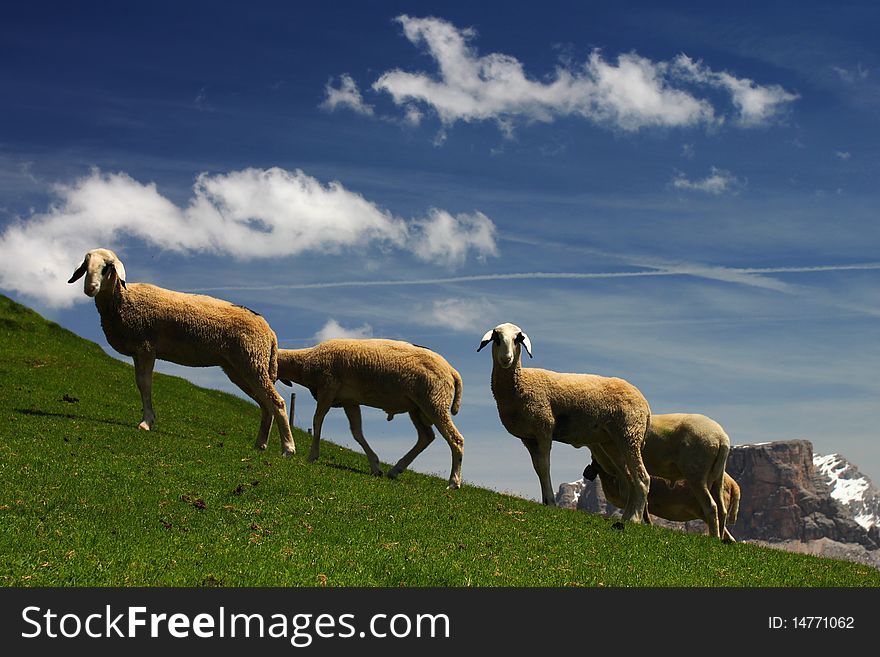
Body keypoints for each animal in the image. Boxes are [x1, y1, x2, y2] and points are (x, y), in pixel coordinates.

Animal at [65, 243, 298, 454]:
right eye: (86, 265)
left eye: (107, 267)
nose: (89, 289)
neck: (122, 299)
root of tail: (270, 332)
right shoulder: (138, 351)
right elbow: (141, 384)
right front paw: (148, 419)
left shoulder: (146, 347)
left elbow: (145, 384)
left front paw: (146, 422)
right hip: (240, 367)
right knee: (265, 404)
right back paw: (260, 444)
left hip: (252, 361)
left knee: (277, 402)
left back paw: (288, 448)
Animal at [278, 338, 464, 486]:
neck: (306, 362)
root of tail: (452, 371)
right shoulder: (349, 401)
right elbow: (357, 433)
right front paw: (375, 466)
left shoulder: (327, 388)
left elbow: (317, 421)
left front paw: (311, 456)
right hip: (417, 407)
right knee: (426, 437)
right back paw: (395, 470)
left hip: (434, 402)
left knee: (456, 439)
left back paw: (454, 482)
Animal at [478, 322, 648, 524]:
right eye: (496, 338)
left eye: (517, 339)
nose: (506, 358)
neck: (520, 384)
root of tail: (645, 403)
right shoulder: (528, 437)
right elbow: (537, 468)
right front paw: (545, 500)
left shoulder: (544, 427)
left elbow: (545, 466)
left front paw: (551, 502)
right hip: (613, 442)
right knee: (630, 479)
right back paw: (627, 516)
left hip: (630, 434)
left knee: (643, 478)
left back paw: (635, 519)